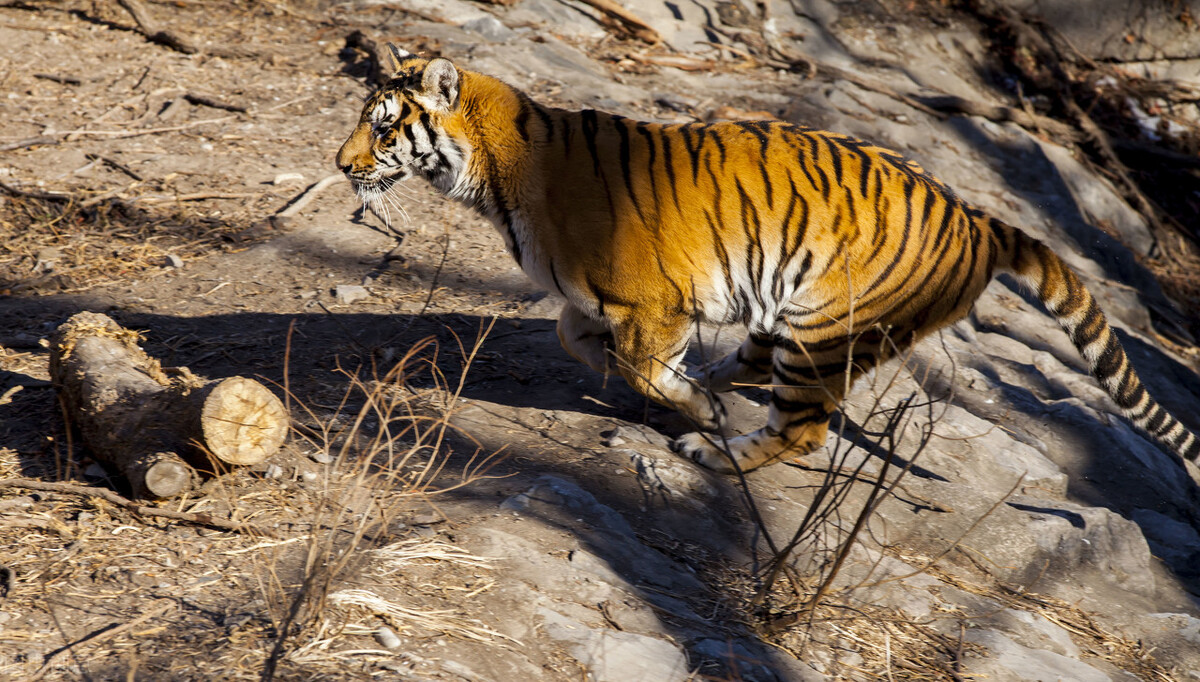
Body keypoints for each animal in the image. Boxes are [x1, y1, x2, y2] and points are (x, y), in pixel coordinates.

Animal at [336, 46, 1200, 473]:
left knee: (805, 432)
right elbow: (576, 339)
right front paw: (668, 385)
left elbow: (642, 366)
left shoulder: (652, 302)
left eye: (383, 128)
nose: (342, 166)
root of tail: (978, 217)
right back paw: (720, 390)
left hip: (824, 328)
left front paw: (685, 408)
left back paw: (711, 453)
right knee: (756, 371)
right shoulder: (603, 305)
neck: (494, 173)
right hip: (788, 317)